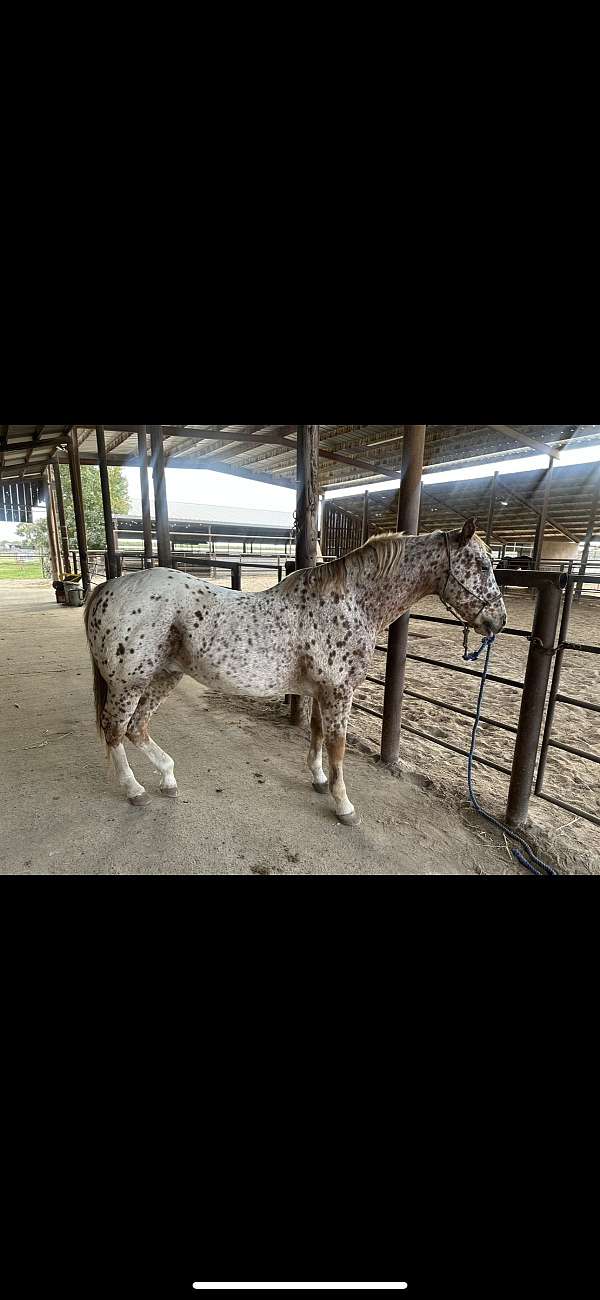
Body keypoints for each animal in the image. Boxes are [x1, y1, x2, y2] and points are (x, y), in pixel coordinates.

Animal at [85, 514, 506, 821]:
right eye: (483, 565)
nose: (497, 621)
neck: (350, 602)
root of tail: (107, 588)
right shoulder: (338, 692)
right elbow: (337, 746)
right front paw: (343, 805)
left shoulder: (321, 692)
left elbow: (316, 733)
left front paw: (318, 779)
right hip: (129, 684)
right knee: (116, 730)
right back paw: (134, 789)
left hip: (164, 676)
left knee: (136, 728)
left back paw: (168, 778)